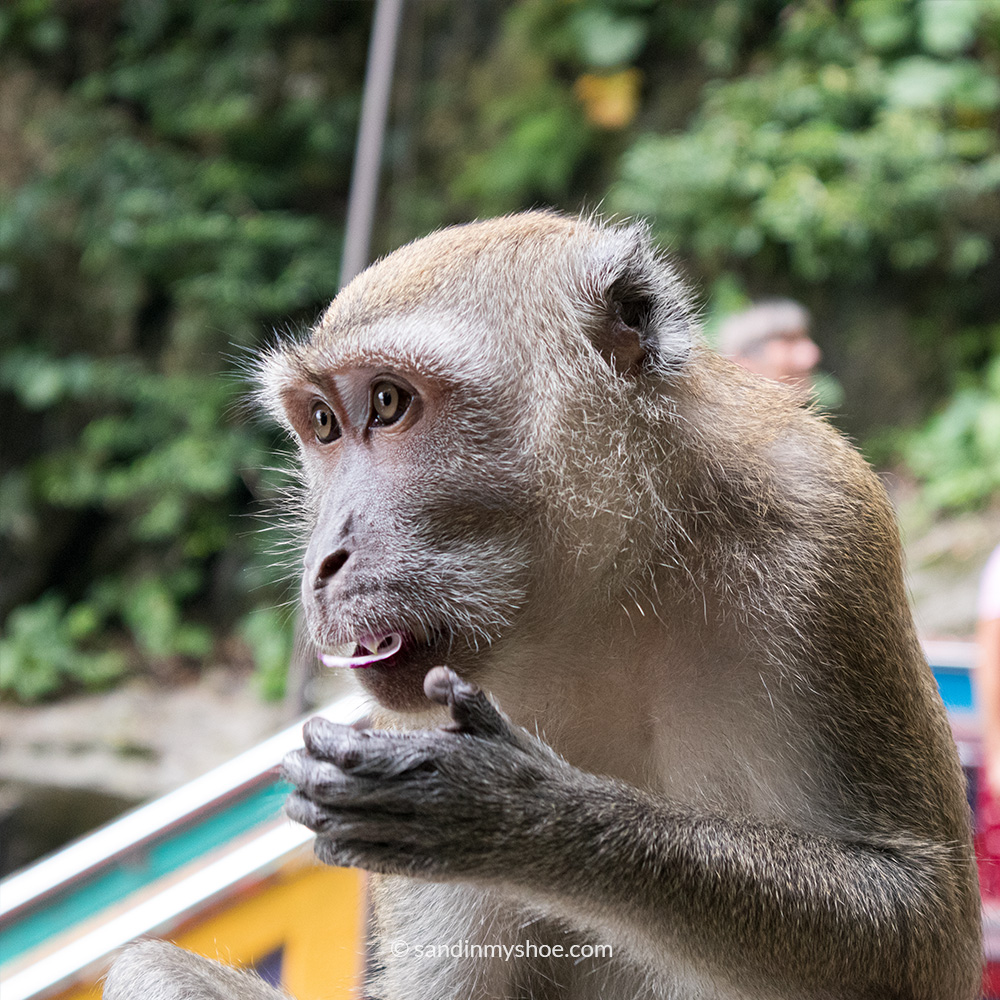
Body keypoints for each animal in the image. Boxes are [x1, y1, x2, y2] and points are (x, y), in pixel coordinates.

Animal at [104, 211, 981, 1000]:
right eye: (322, 423)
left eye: (387, 403)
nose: (325, 563)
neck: (607, 589)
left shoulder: (824, 538)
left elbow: (920, 923)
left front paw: (514, 813)